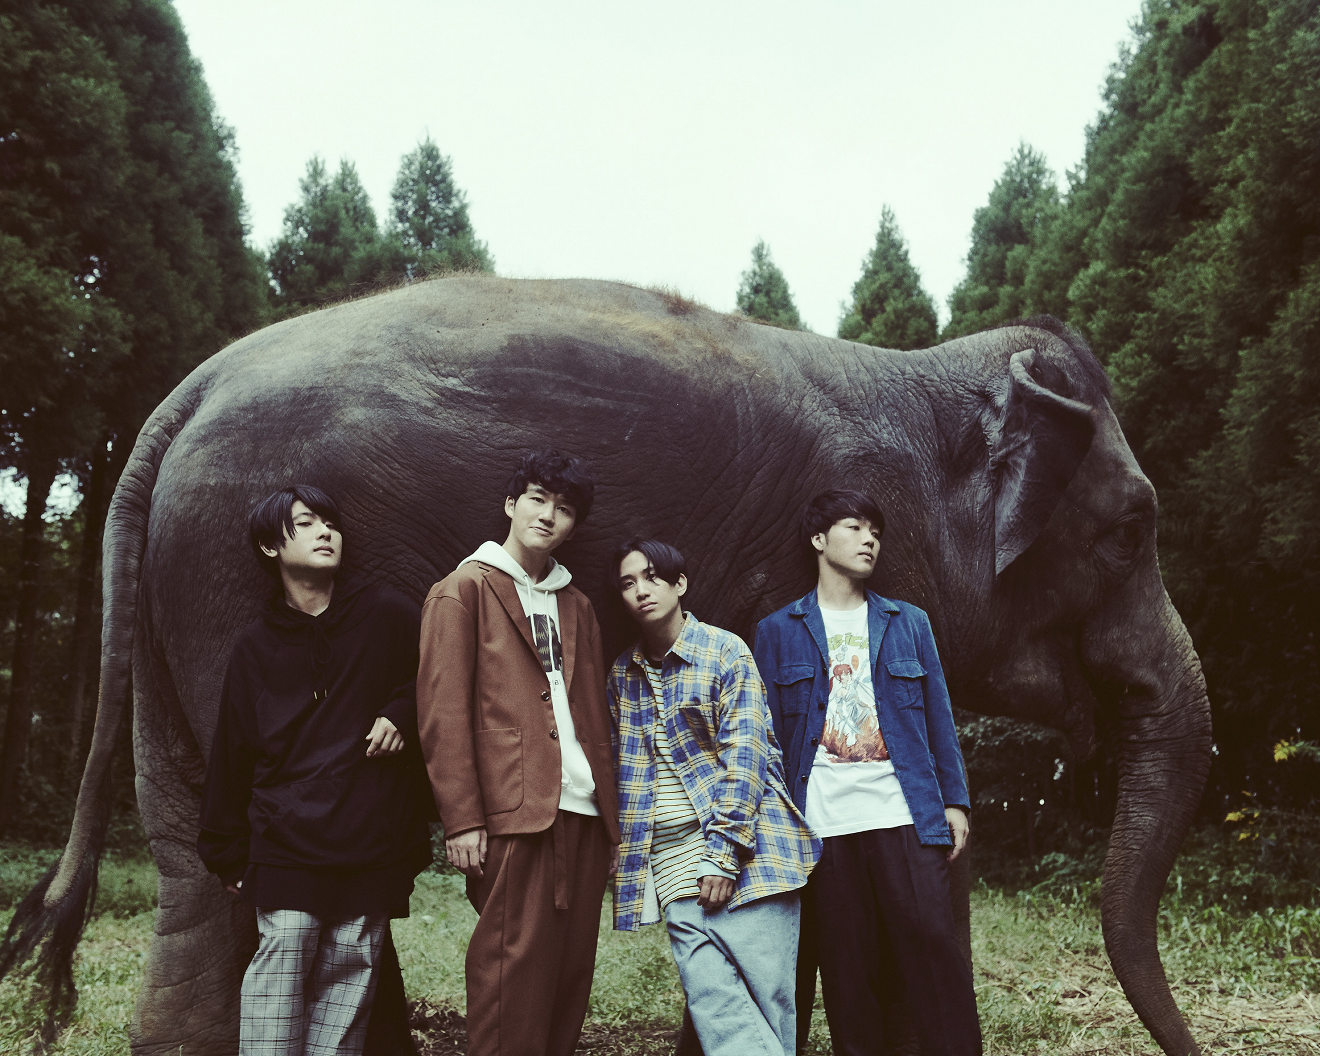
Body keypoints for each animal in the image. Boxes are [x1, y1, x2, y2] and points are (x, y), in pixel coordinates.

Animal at [4, 276, 1211, 1056]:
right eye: (1132, 530)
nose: (1194, 1048)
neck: (921, 379)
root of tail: (181, 399)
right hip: (220, 580)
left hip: (183, 609)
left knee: (200, 866)